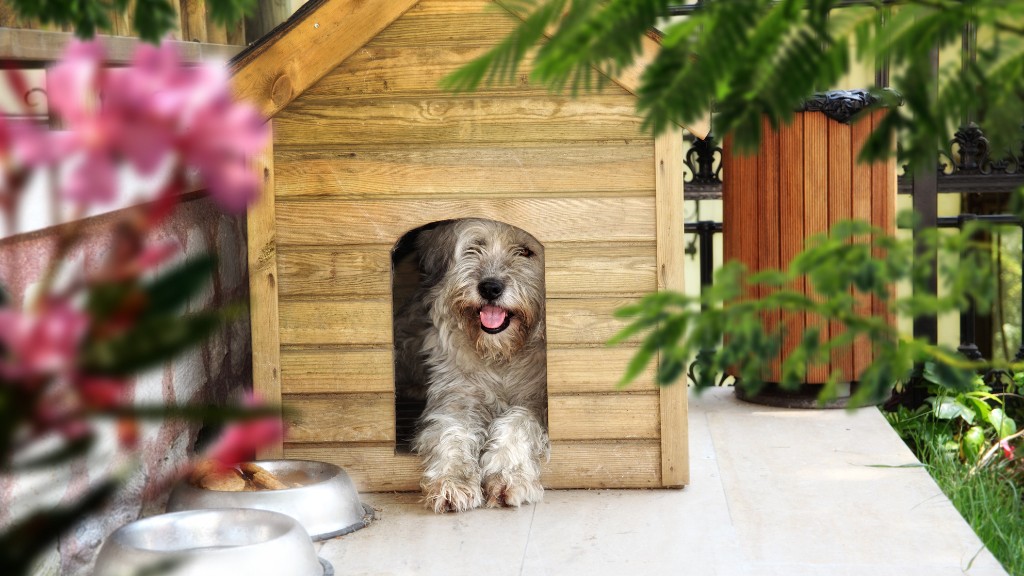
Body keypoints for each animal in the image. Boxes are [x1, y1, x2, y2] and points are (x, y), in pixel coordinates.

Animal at [393, 216, 552, 510]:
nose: (490, 287)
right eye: (475, 247)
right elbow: (452, 433)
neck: (501, 354)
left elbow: (517, 424)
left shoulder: (537, 402)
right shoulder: (456, 397)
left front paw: (507, 476)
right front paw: (453, 480)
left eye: (525, 251)